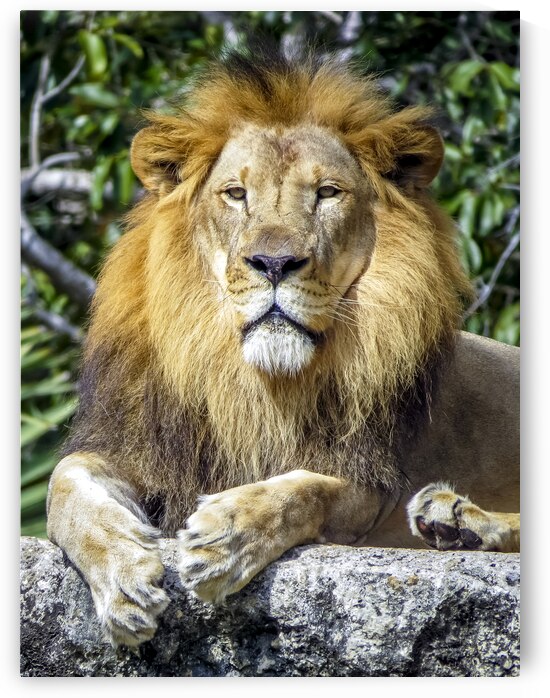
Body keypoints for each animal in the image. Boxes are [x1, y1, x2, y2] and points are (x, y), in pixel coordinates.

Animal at [46, 47, 520, 648]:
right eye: (235, 193)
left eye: (327, 193)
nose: (273, 263)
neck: (254, 381)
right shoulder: (144, 448)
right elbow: (66, 485)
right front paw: (124, 576)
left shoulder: (372, 483)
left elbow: (307, 488)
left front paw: (226, 533)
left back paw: (461, 520)